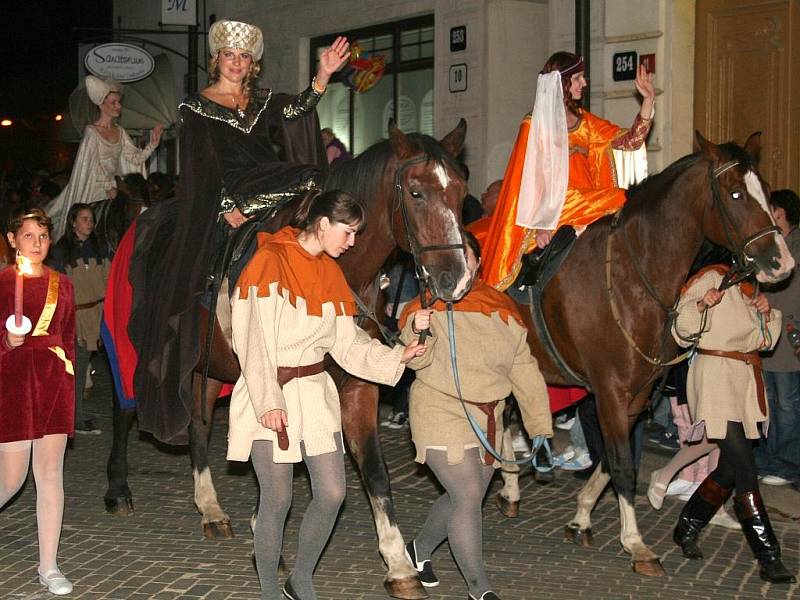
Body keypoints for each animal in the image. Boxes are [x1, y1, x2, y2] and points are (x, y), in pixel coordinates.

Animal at [104, 119, 468, 596]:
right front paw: (266, 533)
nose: (455, 279)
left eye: (461, 192)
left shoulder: (356, 386)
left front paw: (398, 564)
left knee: (198, 424)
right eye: (416, 192)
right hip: (140, 357)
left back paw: (210, 507)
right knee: (125, 409)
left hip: (203, 368)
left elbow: (374, 469)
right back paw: (118, 489)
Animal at [500, 132, 792, 576]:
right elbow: (621, 463)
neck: (632, 278)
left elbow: (614, 459)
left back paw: (511, 486)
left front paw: (582, 515)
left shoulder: (635, 395)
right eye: (736, 193)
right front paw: (636, 543)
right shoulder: (609, 391)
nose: (781, 262)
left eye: (768, 189)